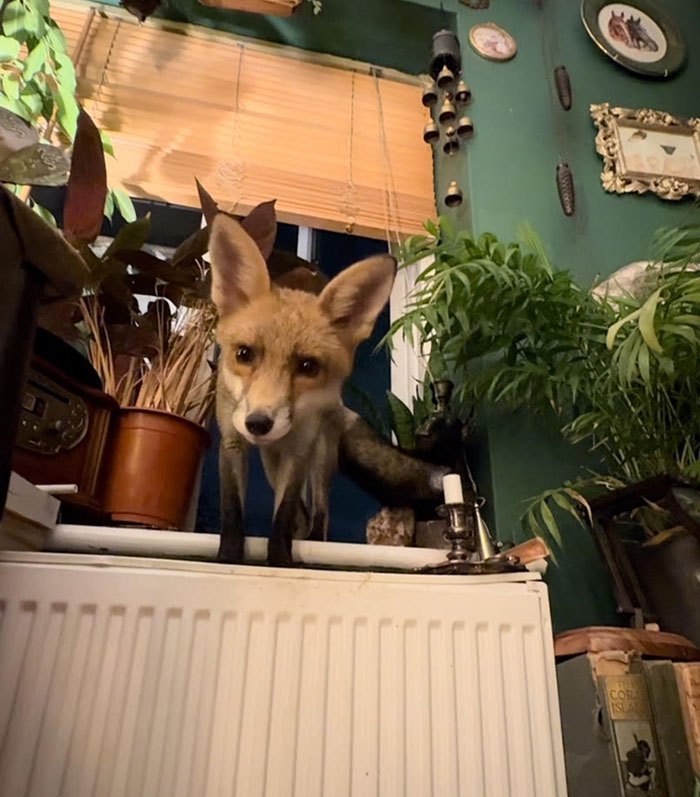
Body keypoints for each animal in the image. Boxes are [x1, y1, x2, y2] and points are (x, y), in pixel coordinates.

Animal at [209, 213, 451, 566]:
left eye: (308, 366)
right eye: (244, 354)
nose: (259, 423)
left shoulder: (299, 447)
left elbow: (283, 516)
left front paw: (280, 561)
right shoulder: (231, 439)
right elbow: (232, 511)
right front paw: (228, 559)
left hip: (321, 453)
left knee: (319, 513)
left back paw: (313, 546)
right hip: (270, 460)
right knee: (302, 513)